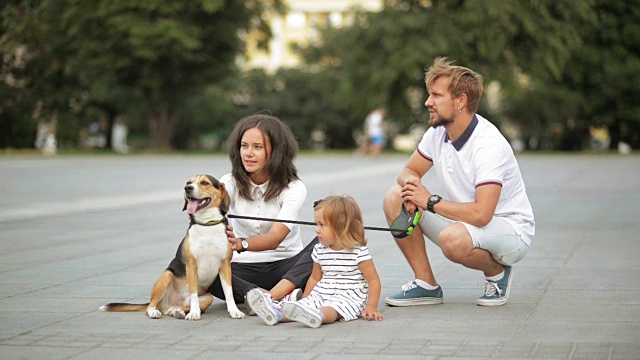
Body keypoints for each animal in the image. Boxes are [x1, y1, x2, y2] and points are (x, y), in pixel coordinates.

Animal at [100, 175, 245, 320]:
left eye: (205, 182)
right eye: (189, 182)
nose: (187, 188)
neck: (207, 224)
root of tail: (168, 303)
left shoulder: (225, 265)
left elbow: (229, 292)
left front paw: (234, 311)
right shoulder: (191, 266)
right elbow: (193, 294)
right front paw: (194, 313)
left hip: (208, 298)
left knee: (170, 309)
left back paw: (177, 312)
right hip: (167, 275)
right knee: (150, 306)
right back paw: (155, 312)